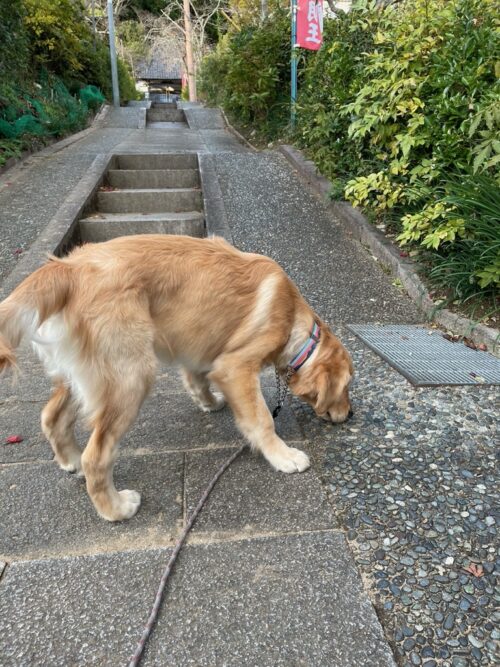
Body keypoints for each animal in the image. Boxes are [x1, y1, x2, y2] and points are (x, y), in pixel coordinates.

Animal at [0, 235, 354, 520]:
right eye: (347, 386)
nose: (350, 415)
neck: (294, 319)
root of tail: (68, 268)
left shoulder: (201, 349)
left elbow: (198, 379)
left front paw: (209, 402)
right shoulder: (236, 366)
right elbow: (262, 419)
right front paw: (282, 455)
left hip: (87, 376)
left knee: (52, 417)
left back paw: (70, 461)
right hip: (131, 377)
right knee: (96, 456)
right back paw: (115, 508)